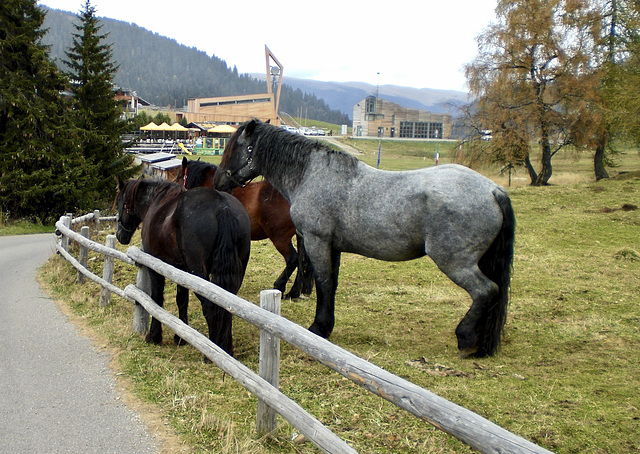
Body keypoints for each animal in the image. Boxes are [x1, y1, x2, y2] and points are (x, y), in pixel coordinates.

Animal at [115, 176, 250, 356]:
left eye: (119, 202)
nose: (119, 235)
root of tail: (223, 206)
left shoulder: (155, 267)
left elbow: (157, 299)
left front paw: (154, 336)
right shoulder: (181, 270)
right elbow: (182, 300)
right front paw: (180, 337)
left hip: (199, 274)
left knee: (210, 306)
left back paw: (211, 353)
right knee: (228, 305)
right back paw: (226, 348)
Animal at [215, 120, 516, 358]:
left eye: (234, 147)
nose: (218, 182)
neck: (311, 174)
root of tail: (493, 190)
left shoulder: (316, 241)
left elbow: (323, 282)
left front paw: (318, 328)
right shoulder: (333, 247)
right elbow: (331, 284)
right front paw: (327, 325)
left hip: (455, 262)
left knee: (485, 291)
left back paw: (466, 338)